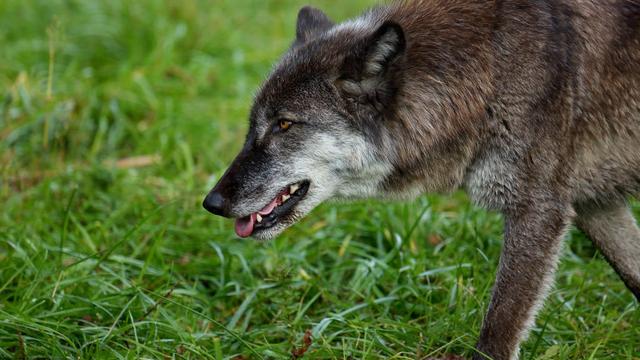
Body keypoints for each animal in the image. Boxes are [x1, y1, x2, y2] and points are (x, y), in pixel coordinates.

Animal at [204, 1, 640, 358]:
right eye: (252, 127)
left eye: (284, 124)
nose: (212, 203)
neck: (490, 68)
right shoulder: (594, 205)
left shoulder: (537, 210)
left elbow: (496, 334)